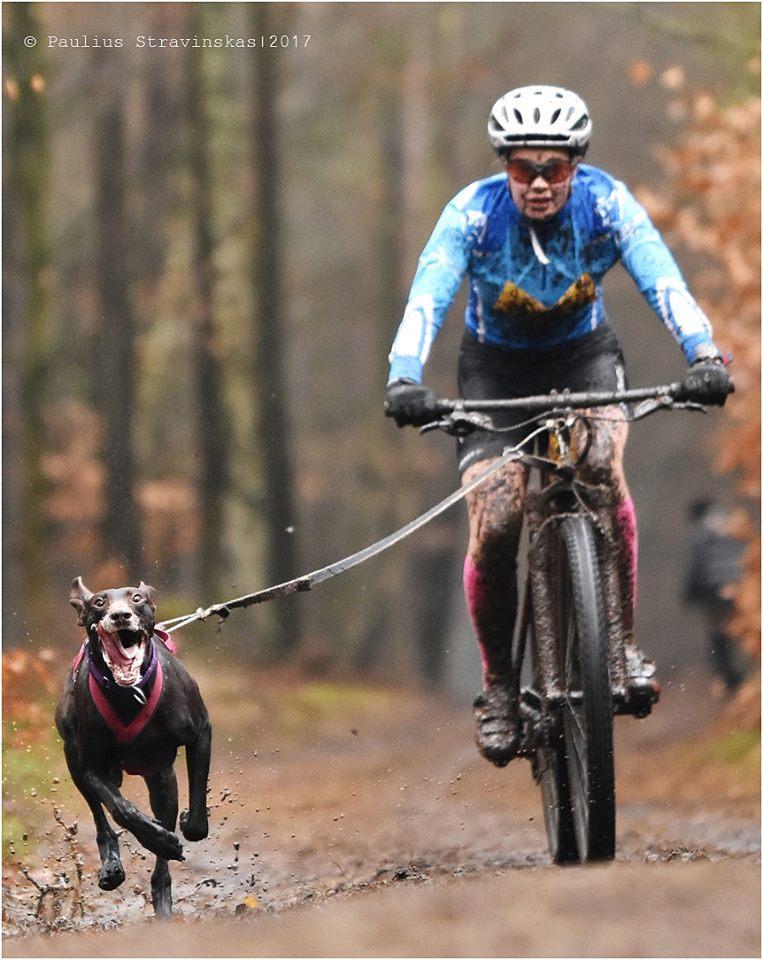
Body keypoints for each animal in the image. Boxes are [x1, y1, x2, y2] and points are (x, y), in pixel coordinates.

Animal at [56, 576, 212, 916]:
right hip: (73, 758)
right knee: (102, 819)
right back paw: (113, 865)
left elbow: (197, 818)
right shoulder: (92, 768)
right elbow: (121, 809)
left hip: (162, 778)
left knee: (162, 853)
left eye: (137, 598)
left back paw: (162, 894)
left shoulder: (200, 733)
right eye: (99, 602)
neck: (130, 695)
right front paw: (158, 839)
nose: (120, 615)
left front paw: (184, 825)